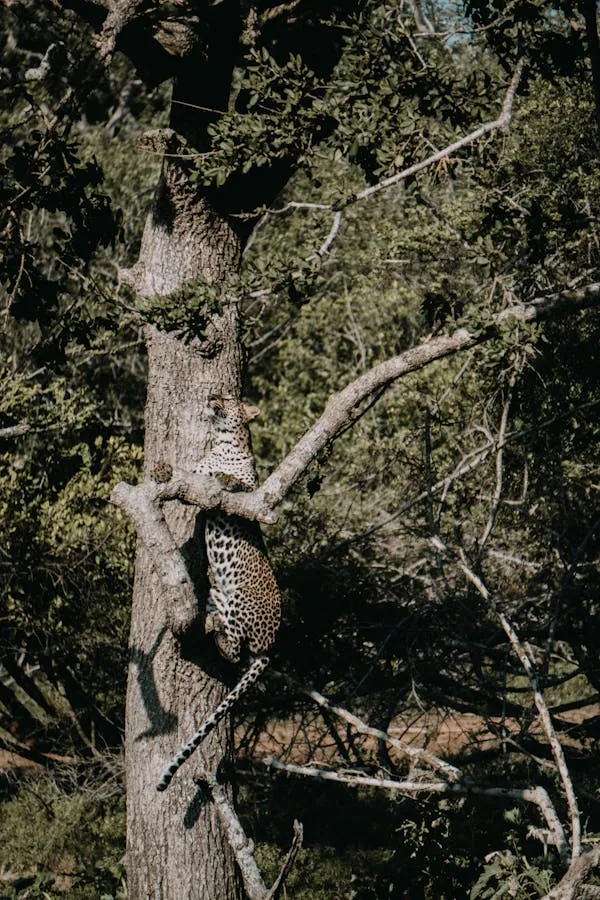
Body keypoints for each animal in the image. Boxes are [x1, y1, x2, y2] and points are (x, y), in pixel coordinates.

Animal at [157, 395, 281, 791]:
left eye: (230, 399)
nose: (212, 397)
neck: (223, 443)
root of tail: (271, 645)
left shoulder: (254, 493)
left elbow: (238, 485)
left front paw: (226, 478)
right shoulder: (196, 472)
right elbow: (188, 473)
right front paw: (163, 468)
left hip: (242, 599)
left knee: (238, 649)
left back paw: (218, 634)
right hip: (217, 596)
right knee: (233, 648)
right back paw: (213, 626)